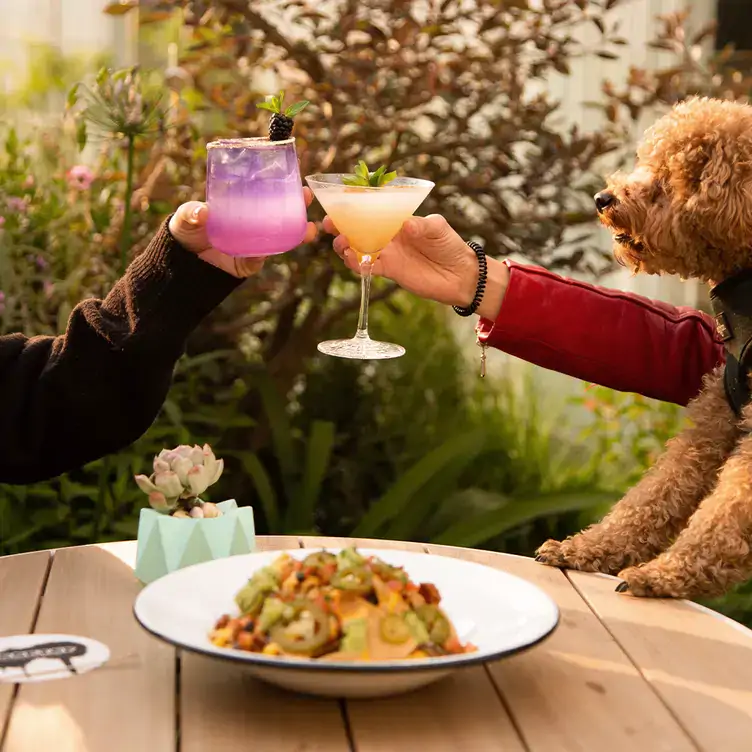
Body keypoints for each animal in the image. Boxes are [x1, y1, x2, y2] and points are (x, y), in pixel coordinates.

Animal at [532, 95, 752, 600]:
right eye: (649, 162)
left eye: (672, 179)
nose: (603, 198)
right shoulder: (713, 421)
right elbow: (654, 494)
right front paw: (586, 549)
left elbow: (726, 515)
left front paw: (665, 575)